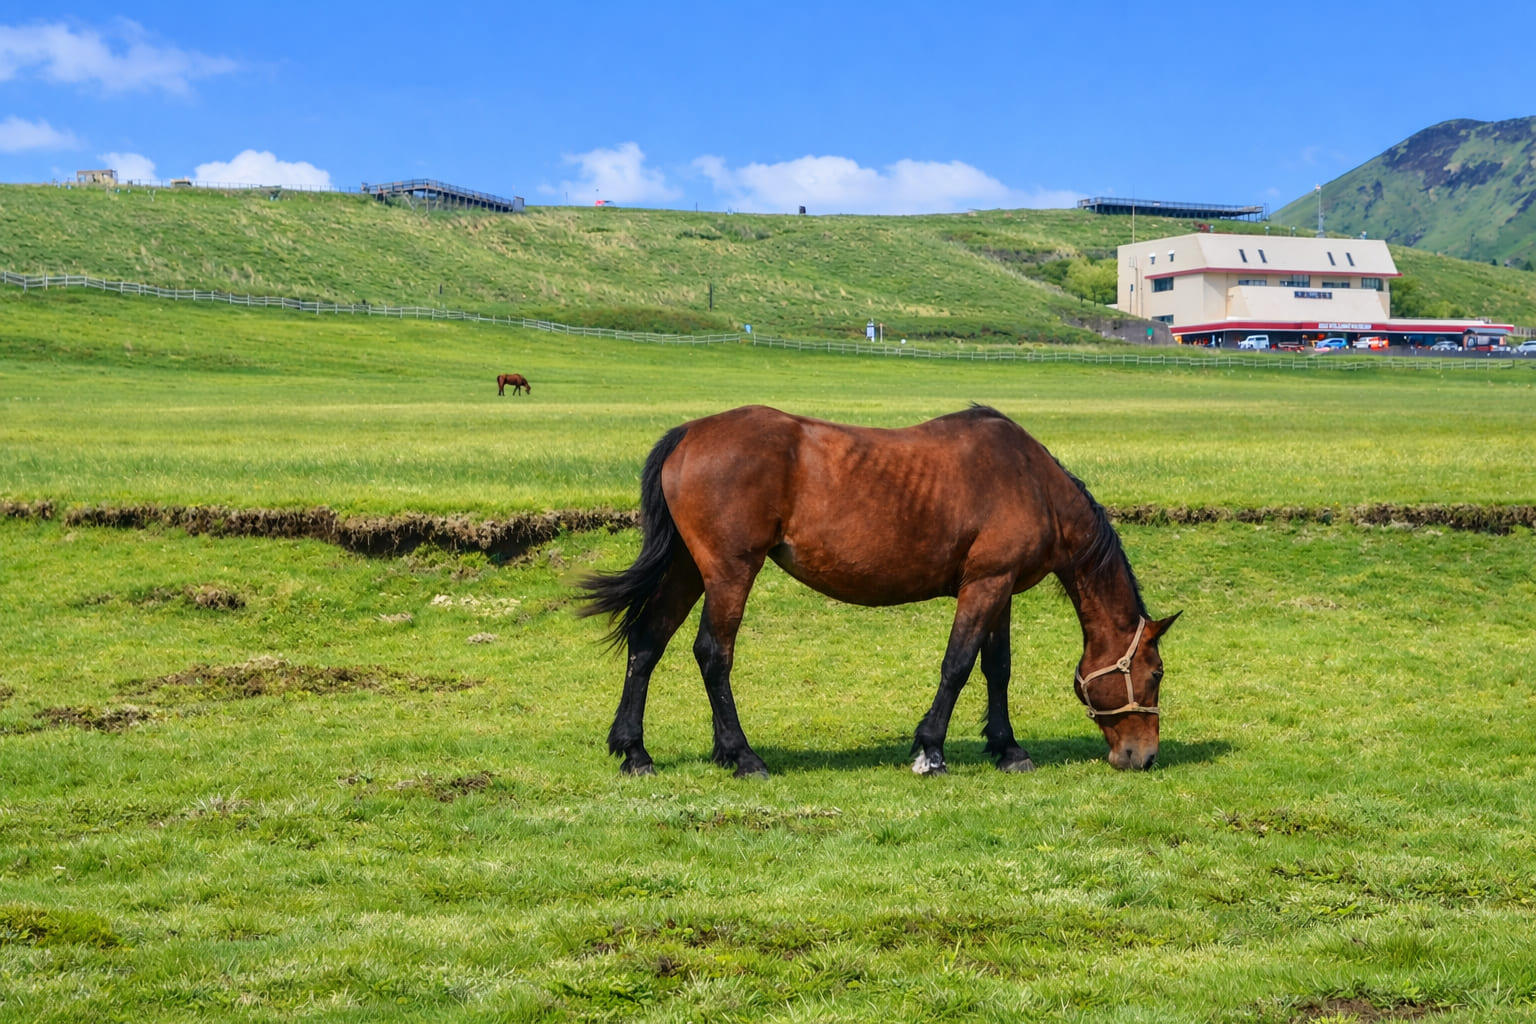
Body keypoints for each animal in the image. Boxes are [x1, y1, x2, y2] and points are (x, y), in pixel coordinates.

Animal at [578, 405, 1179, 779]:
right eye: (1154, 675)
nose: (1143, 756)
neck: (1031, 480)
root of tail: (689, 433)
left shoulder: (1000, 590)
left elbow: (997, 668)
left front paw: (1007, 748)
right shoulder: (984, 585)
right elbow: (958, 665)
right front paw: (930, 750)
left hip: (686, 570)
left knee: (647, 642)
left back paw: (634, 751)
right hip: (729, 572)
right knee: (712, 654)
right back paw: (740, 755)